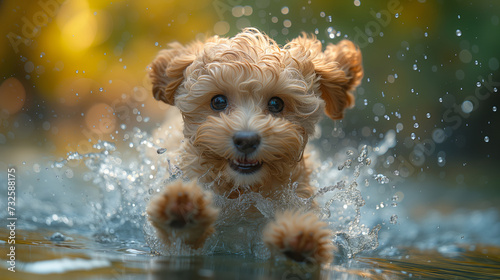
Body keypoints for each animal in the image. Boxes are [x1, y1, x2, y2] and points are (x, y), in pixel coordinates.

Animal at [146, 27, 362, 264]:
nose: (246, 140)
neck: (243, 192)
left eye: (276, 103)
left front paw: (299, 235)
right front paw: (182, 209)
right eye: (218, 101)